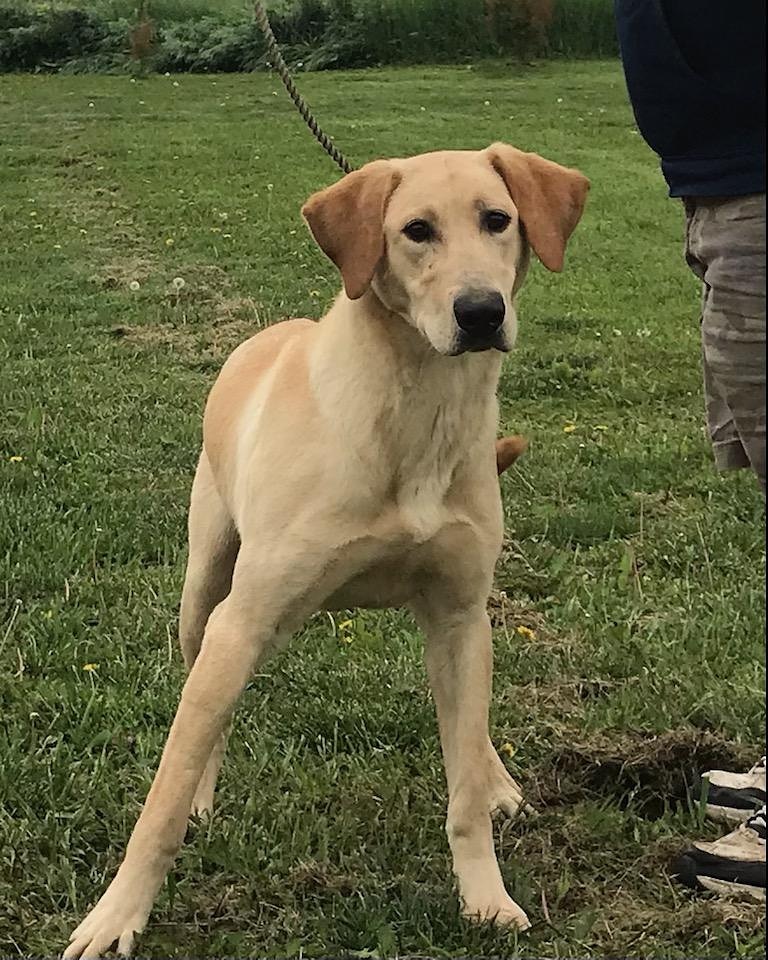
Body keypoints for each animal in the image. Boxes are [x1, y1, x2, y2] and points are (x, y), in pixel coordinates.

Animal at [63, 139, 588, 956]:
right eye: (416, 230)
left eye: (498, 220)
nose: (480, 312)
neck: (415, 412)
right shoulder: (242, 622)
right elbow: (164, 796)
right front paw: (115, 918)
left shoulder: (460, 615)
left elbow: (464, 786)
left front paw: (486, 896)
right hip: (204, 594)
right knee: (203, 703)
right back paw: (205, 795)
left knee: (468, 728)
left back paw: (497, 776)